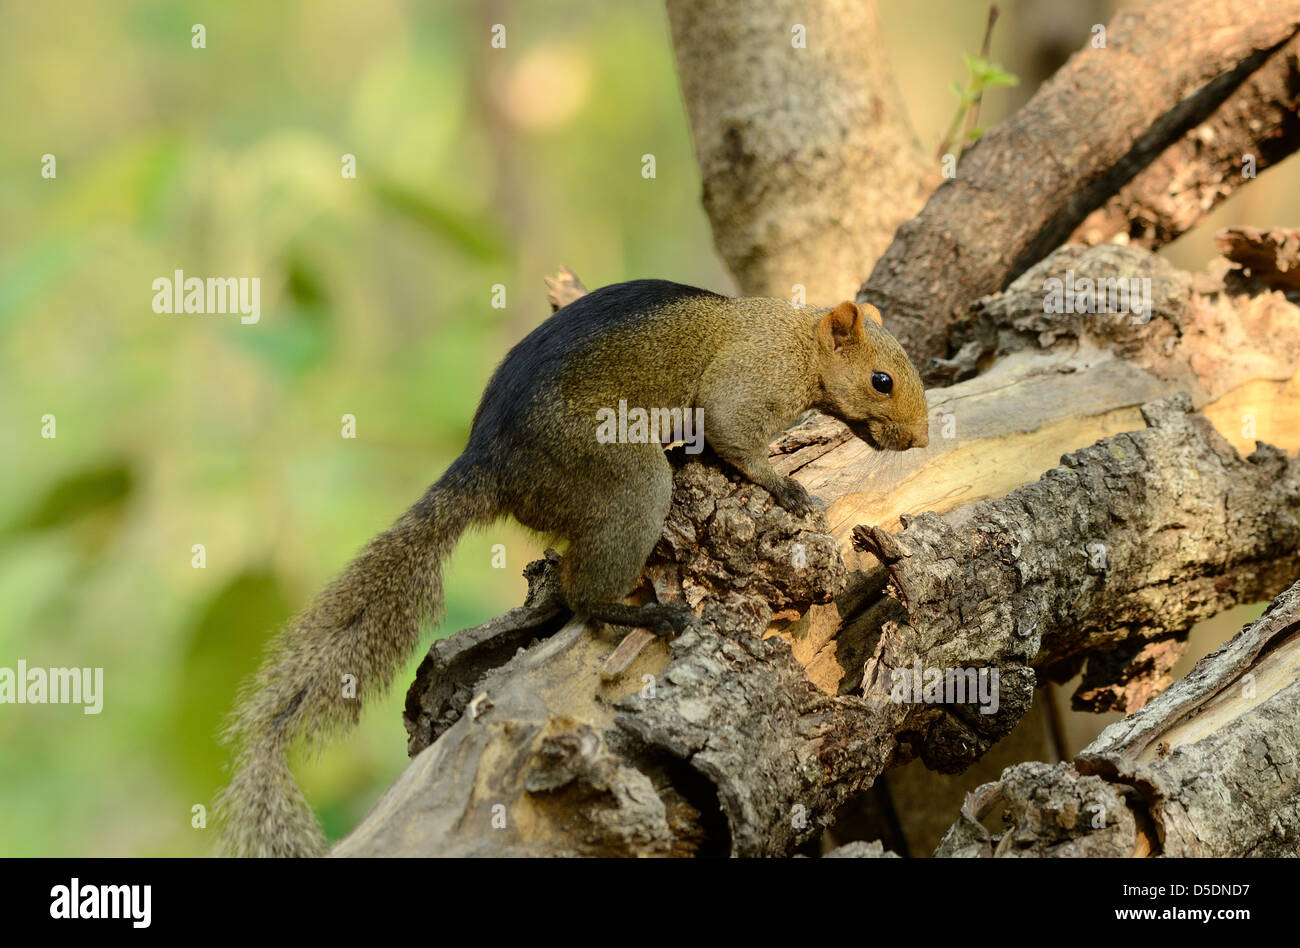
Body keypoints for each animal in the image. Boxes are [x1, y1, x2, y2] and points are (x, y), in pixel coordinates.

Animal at [216, 279, 929, 857]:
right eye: (881, 380)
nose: (921, 440)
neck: (797, 342)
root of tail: (491, 462)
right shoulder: (749, 383)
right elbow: (735, 439)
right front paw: (787, 488)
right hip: (623, 477)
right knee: (585, 595)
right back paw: (653, 616)